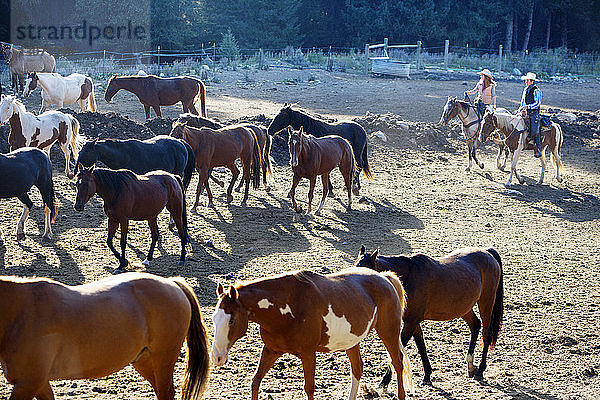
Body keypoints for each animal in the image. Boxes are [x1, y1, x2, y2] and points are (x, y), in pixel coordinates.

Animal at [0, 272, 211, 400]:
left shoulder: (28, 382)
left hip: (162, 361)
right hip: (145, 361)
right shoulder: (39, 383)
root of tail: (173, 283)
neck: (21, 310)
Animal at [211, 268, 412, 400]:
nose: (216, 357)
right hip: (351, 342)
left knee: (398, 363)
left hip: (389, 333)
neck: (288, 307)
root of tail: (384, 278)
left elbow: (309, 388)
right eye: (213, 318)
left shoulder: (308, 354)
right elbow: (255, 381)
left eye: (231, 320)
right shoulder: (271, 350)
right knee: (357, 368)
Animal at [354, 247, 504, 384]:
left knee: (486, 334)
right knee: (475, 325)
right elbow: (421, 346)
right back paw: (471, 365)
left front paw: (384, 383)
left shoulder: (411, 322)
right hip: (464, 308)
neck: (408, 277)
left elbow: (398, 351)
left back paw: (480, 370)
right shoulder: (413, 322)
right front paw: (427, 375)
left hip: (486, 302)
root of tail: (487, 252)